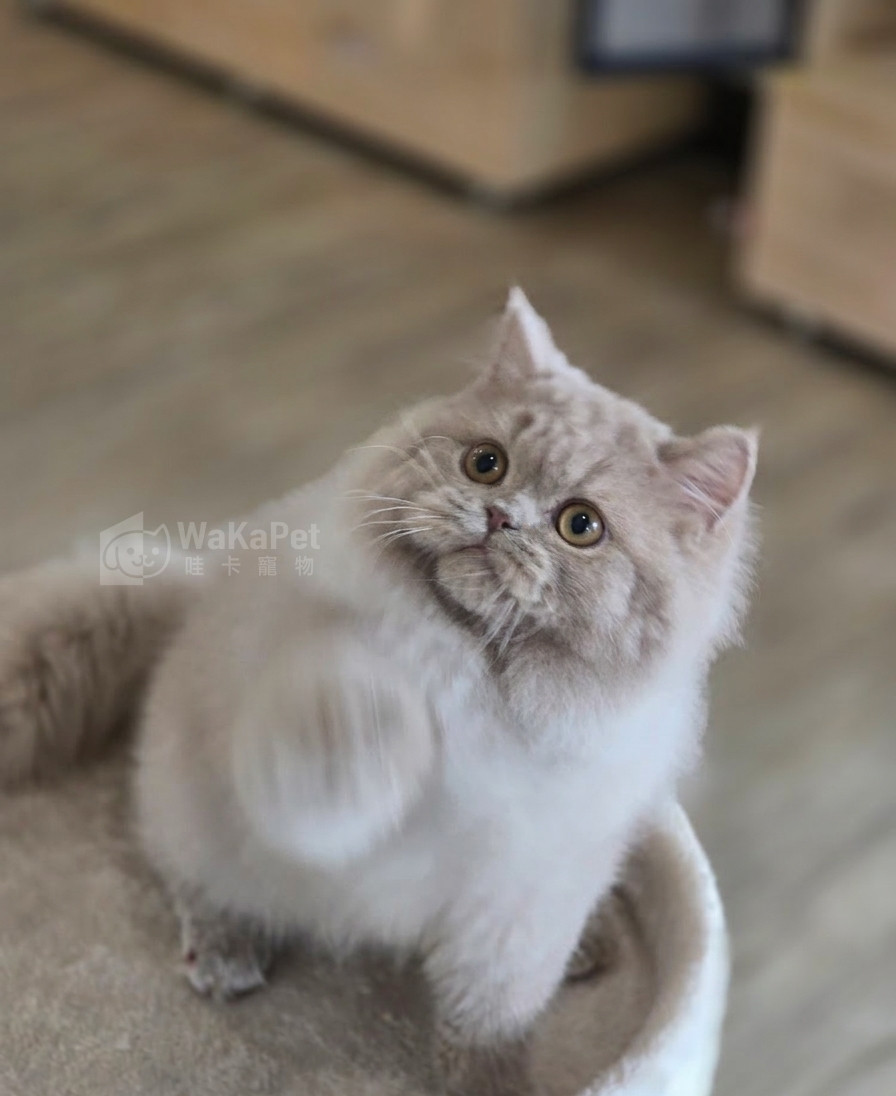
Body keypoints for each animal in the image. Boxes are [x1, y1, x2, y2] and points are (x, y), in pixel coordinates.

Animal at [0, 289, 757, 1095]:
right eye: (485, 464)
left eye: (580, 526)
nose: (501, 518)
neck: (483, 682)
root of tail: (191, 597)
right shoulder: (317, 786)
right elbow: (347, 752)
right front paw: (382, 711)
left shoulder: (523, 900)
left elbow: (490, 1018)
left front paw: (490, 1083)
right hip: (193, 809)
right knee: (198, 880)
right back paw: (226, 954)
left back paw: (592, 948)